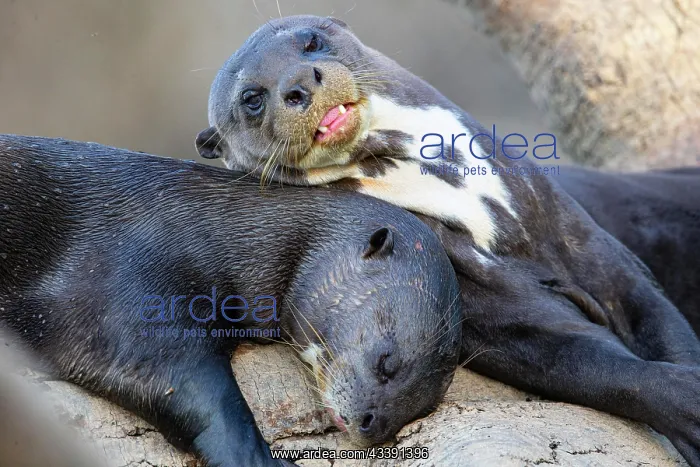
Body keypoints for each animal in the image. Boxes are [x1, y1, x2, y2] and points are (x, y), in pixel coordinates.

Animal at [0, 135, 462, 466]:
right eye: (387, 361)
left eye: (421, 406)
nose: (372, 424)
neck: (212, 226)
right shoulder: (127, 281)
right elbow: (184, 383)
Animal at [196, 15, 700, 465]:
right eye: (252, 98)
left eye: (310, 42)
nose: (300, 83)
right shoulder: (486, 307)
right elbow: (595, 366)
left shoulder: (584, 242)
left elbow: (657, 318)